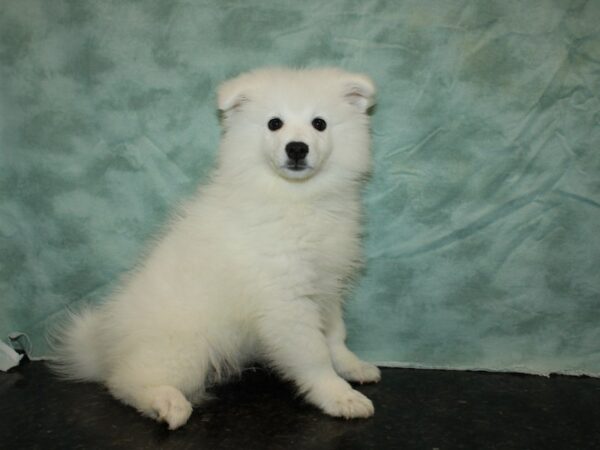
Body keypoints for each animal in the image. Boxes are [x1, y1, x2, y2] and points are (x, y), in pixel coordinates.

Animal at [52, 67, 380, 428]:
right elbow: (313, 353)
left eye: (319, 123)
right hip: (184, 347)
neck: (295, 196)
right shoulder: (285, 300)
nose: (297, 148)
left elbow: (335, 334)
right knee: (124, 380)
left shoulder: (326, 283)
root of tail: (103, 346)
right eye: (274, 123)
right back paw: (166, 403)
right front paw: (338, 395)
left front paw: (352, 365)